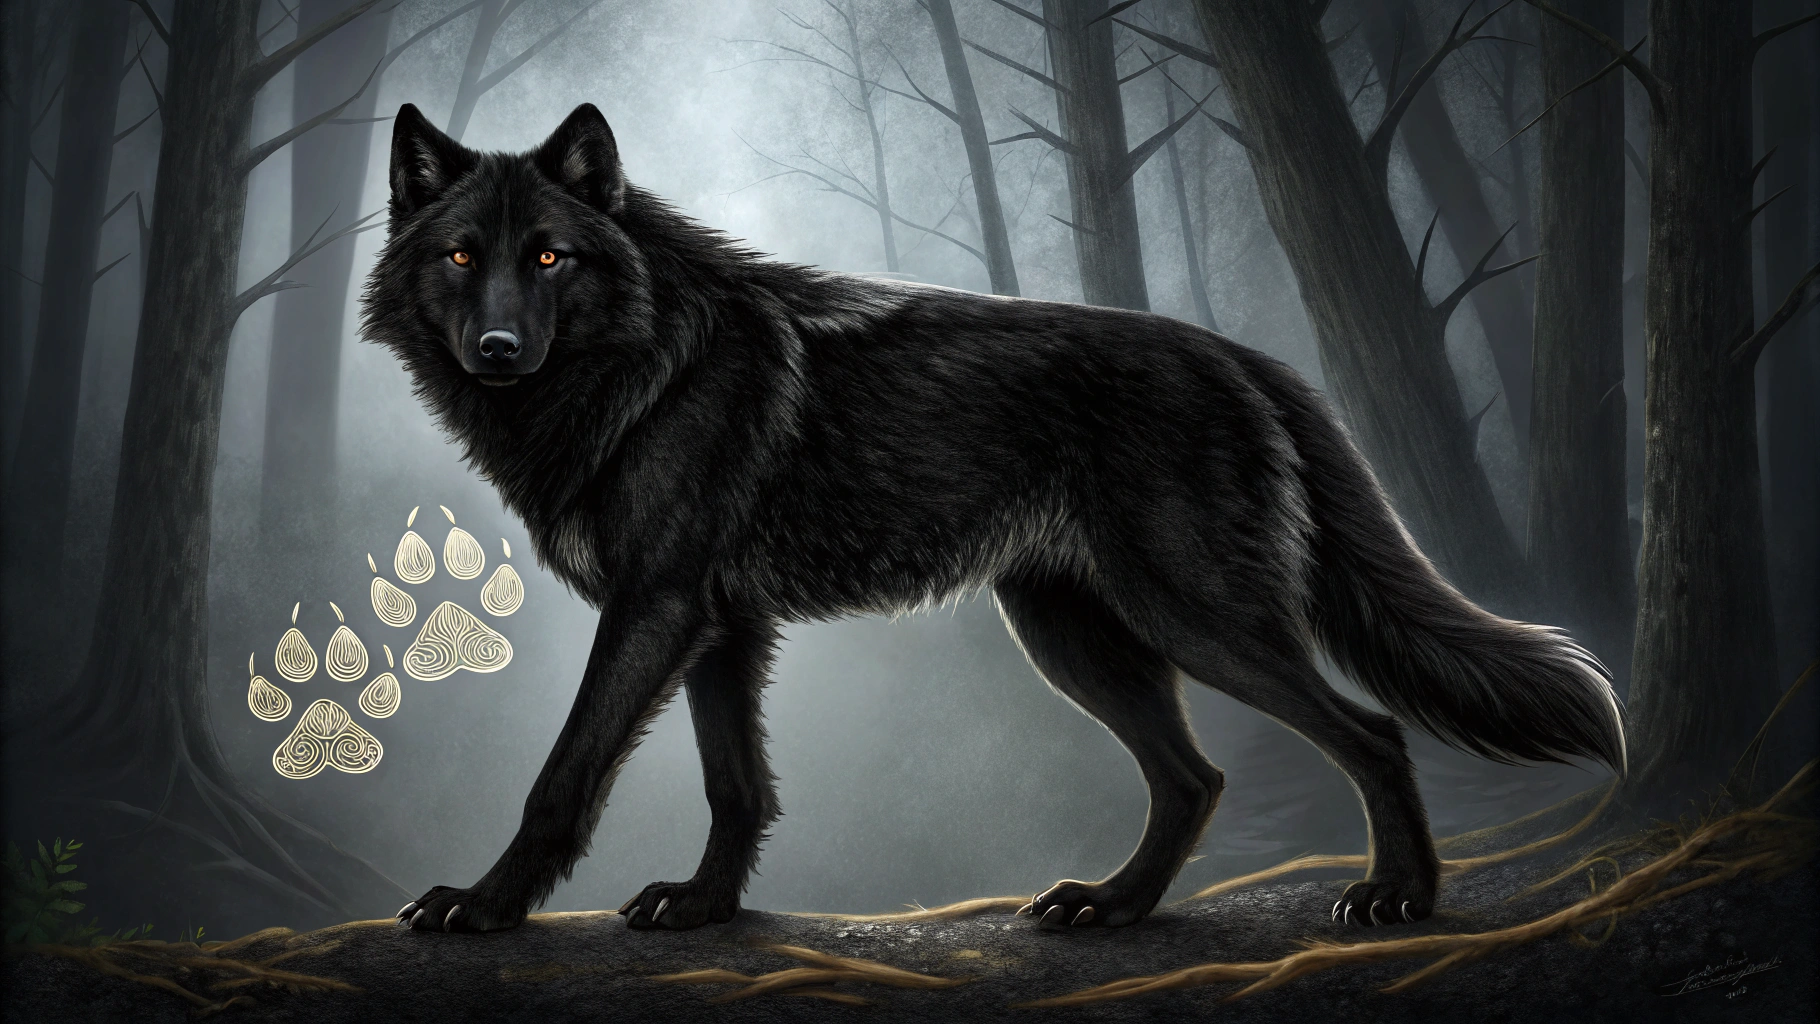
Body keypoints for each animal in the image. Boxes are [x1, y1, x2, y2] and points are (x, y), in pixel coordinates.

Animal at [365, 103, 1624, 935]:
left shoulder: (657, 606)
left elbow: (563, 772)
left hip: (1192, 618)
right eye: (464, 255)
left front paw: (483, 905)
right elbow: (738, 785)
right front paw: (706, 905)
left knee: (1366, 733)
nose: (497, 348)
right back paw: (1111, 905)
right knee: (1192, 776)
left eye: (548, 256)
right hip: (1074, 639)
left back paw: (1399, 893)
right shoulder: (720, 627)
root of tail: (1240, 356)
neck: (639, 369)